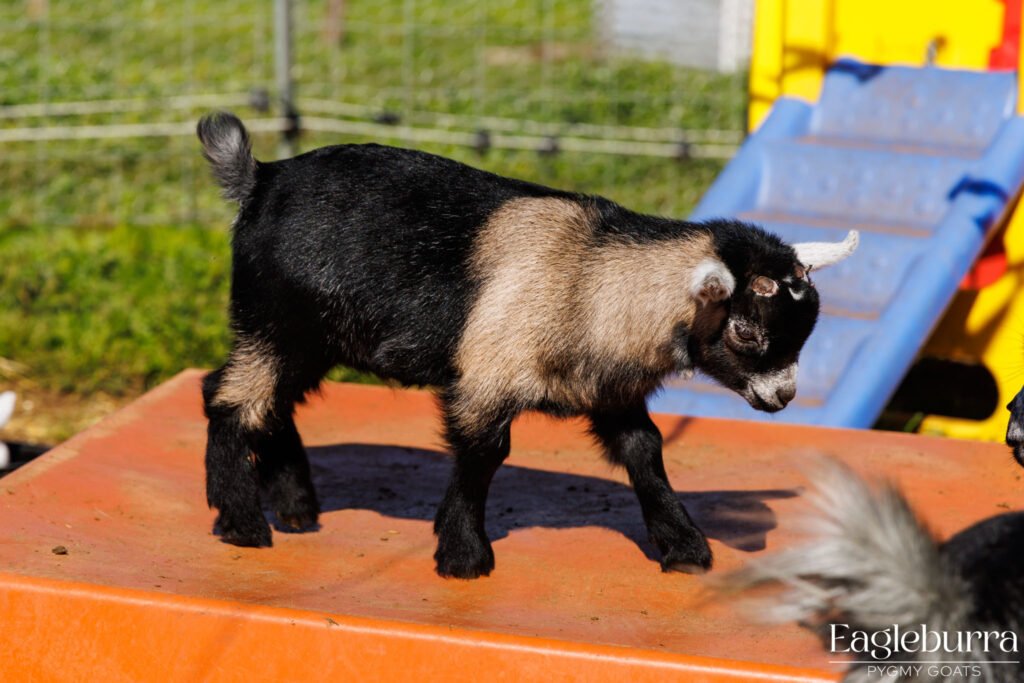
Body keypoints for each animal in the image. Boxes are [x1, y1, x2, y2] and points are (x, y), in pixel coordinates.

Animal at [197, 111, 858, 579]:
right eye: (747, 331)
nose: (782, 398)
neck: (591, 278)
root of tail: (260, 179)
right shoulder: (487, 378)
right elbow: (484, 454)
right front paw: (463, 556)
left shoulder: (609, 388)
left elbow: (644, 450)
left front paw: (684, 548)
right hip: (275, 322)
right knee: (231, 401)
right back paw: (243, 523)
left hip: (308, 338)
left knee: (260, 401)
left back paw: (296, 508)